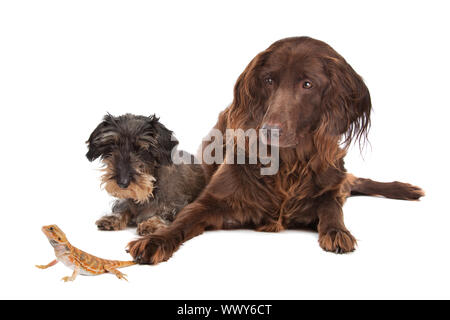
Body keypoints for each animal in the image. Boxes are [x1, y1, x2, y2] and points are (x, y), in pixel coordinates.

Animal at [127, 36, 426, 264]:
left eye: (308, 84)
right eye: (269, 80)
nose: (269, 129)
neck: (288, 164)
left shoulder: (328, 189)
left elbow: (332, 208)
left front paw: (337, 232)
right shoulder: (211, 201)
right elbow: (183, 220)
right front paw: (156, 241)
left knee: (354, 181)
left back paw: (406, 189)